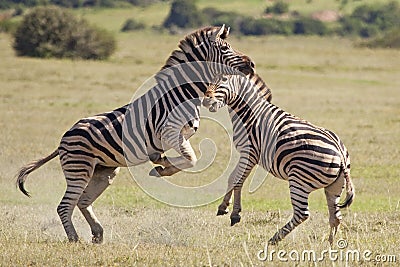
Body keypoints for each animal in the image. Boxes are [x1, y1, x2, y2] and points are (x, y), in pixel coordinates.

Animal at [15, 25, 256, 245]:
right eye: (225, 48)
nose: (252, 65)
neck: (183, 94)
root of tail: (62, 139)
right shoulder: (169, 133)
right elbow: (191, 159)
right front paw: (161, 170)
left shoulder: (179, 136)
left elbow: (185, 158)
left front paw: (161, 163)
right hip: (79, 168)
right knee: (65, 205)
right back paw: (74, 239)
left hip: (103, 172)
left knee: (82, 202)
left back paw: (97, 233)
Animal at [203, 74, 354, 246]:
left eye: (224, 80)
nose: (205, 100)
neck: (249, 111)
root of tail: (340, 153)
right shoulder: (251, 155)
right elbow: (233, 179)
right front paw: (226, 208)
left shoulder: (250, 152)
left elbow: (236, 179)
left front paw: (233, 213)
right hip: (334, 187)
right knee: (336, 217)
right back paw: (330, 245)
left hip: (299, 180)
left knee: (302, 214)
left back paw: (274, 239)